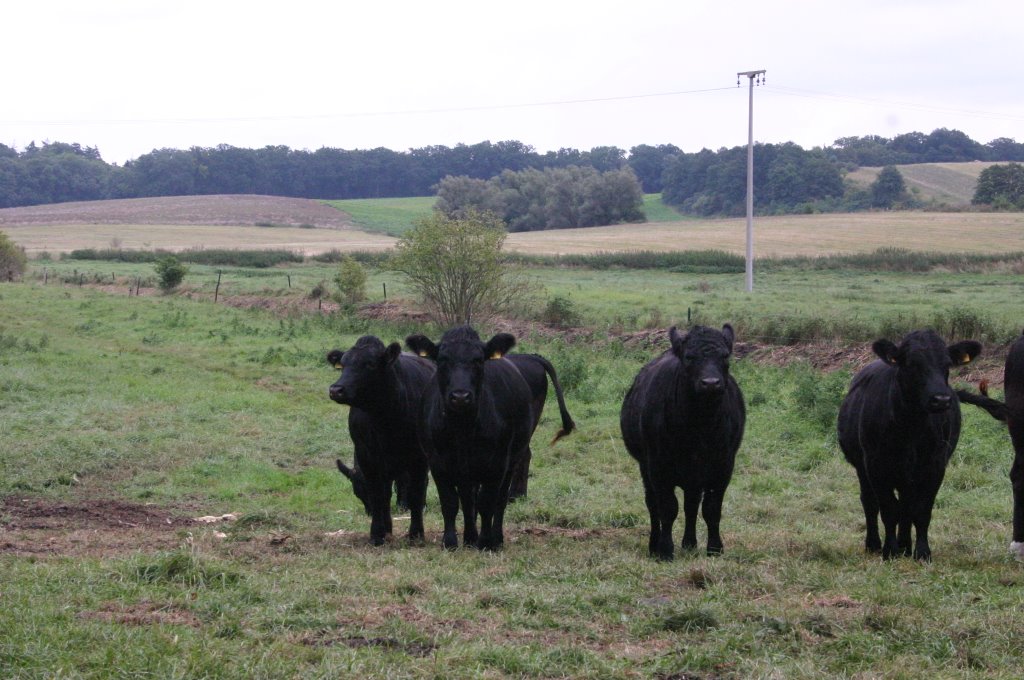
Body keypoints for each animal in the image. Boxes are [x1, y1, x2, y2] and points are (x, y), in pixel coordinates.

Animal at [325, 335, 434, 548]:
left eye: (370, 364)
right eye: (343, 364)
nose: (336, 389)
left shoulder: (418, 457)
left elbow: (416, 493)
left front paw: (416, 534)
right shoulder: (367, 455)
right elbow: (379, 495)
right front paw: (378, 534)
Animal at [407, 325, 536, 553]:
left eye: (478, 360)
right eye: (442, 360)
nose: (460, 396)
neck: (463, 429)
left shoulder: (497, 463)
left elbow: (487, 503)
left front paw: (485, 542)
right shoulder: (438, 462)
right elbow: (450, 503)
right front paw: (450, 542)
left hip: (511, 460)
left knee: (499, 501)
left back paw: (496, 538)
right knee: (468, 500)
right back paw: (469, 538)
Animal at [618, 327, 749, 561]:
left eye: (725, 356)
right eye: (689, 357)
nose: (711, 383)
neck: (700, 426)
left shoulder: (723, 466)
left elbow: (711, 509)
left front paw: (714, 548)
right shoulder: (658, 467)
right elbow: (668, 508)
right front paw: (665, 550)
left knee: (691, 505)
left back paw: (689, 543)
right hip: (646, 467)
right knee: (653, 504)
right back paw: (654, 545)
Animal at [839, 331, 983, 561]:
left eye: (947, 364)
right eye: (912, 364)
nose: (941, 399)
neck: (912, 427)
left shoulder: (935, 466)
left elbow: (921, 510)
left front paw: (922, 552)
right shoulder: (876, 465)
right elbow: (888, 509)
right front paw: (890, 551)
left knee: (906, 505)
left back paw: (905, 546)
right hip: (863, 467)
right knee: (870, 503)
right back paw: (874, 544)